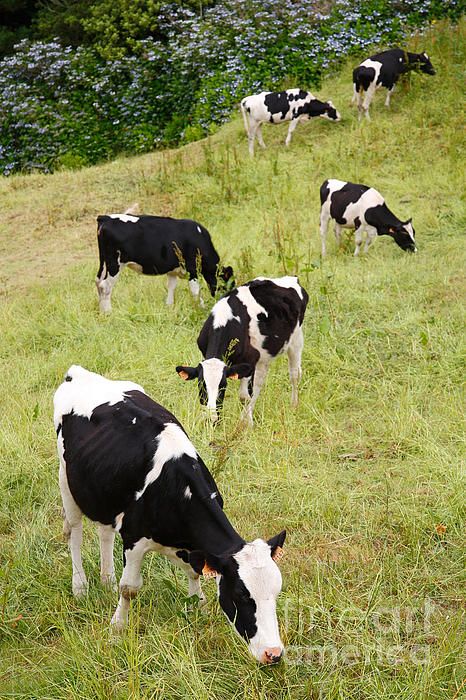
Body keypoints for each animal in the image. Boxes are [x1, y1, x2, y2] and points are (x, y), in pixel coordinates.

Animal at [55, 364, 288, 664]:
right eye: (240, 595)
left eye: (276, 592)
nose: (274, 653)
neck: (176, 483)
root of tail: (80, 373)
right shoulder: (134, 538)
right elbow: (129, 588)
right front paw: (117, 628)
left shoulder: (187, 544)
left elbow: (194, 571)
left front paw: (199, 606)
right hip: (67, 480)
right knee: (75, 531)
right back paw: (80, 587)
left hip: (105, 491)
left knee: (104, 531)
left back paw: (106, 580)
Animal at [95, 212, 233, 314]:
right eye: (229, 285)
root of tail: (105, 218)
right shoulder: (192, 269)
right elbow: (195, 291)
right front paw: (200, 308)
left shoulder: (172, 271)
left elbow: (171, 287)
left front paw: (169, 307)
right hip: (115, 264)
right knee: (105, 286)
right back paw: (108, 312)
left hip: (104, 263)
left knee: (98, 282)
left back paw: (101, 312)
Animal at [177, 276, 308, 424]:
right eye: (201, 385)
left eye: (223, 386)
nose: (212, 418)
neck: (225, 320)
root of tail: (291, 278)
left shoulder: (250, 360)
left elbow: (244, 396)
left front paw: (247, 424)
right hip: (264, 356)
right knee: (259, 382)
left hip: (296, 340)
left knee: (295, 375)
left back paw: (293, 406)